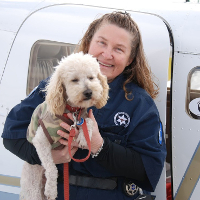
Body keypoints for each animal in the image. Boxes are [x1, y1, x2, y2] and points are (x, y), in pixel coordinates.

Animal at [19, 52, 108, 200]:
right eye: (74, 80)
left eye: (91, 77)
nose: (89, 92)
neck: (72, 110)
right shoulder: (41, 141)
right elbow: (51, 168)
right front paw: (51, 190)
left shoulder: (82, 117)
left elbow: (88, 121)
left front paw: (84, 137)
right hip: (32, 187)